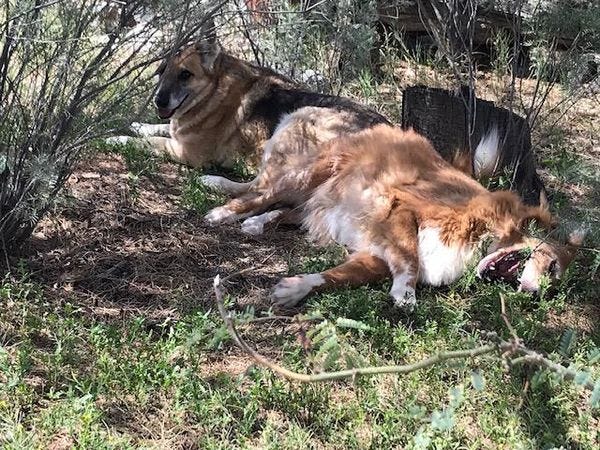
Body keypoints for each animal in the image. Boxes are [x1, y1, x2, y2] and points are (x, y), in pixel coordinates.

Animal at [117, 38, 388, 169]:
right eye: (161, 71)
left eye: (185, 74)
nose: (159, 100)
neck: (213, 92)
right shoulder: (179, 130)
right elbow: (159, 128)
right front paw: (138, 125)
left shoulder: (188, 152)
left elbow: (154, 140)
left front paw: (119, 138)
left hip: (299, 117)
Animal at [204, 120, 582, 309]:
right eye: (552, 266)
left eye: (554, 285)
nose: (537, 296)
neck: (481, 233)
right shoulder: (402, 207)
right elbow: (409, 256)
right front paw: (406, 293)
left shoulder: (375, 256)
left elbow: (338, 276)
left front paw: (296, 288)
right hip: (306, 176)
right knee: (257, 194)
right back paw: (223, 208)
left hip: (321, 204)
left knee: (283, 211)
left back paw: (257, 223)